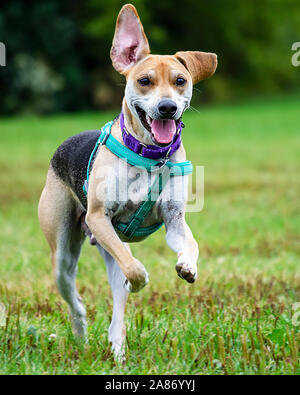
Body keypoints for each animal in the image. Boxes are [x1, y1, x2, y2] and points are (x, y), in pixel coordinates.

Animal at [38, 3, 218, 362]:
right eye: (144, 81)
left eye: (180, 81)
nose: (167, 107)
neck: (150, 155)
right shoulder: (99, 218)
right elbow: (134, 270)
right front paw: (140, 279)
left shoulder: (174, 221)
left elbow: (190, 243)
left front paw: (187, 266)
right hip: (65, 251)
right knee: (77, 294)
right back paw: (82, 333)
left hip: (105, 249)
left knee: (117, 305)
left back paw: (117, 348)